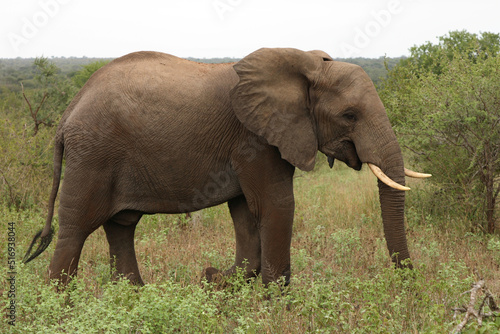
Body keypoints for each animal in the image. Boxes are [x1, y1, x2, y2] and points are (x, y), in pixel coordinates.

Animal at [24, 47, 430, 288]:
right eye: (350, 115)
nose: (411, 283)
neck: (306, 63)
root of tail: (67, 114)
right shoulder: (256, 138)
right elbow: (277, 205)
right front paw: (274, 303)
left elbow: (246, 213)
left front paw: (223, 281)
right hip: (93, 154)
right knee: (76, 229)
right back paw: (60, 304)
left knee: (121, 226)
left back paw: (133, 298)